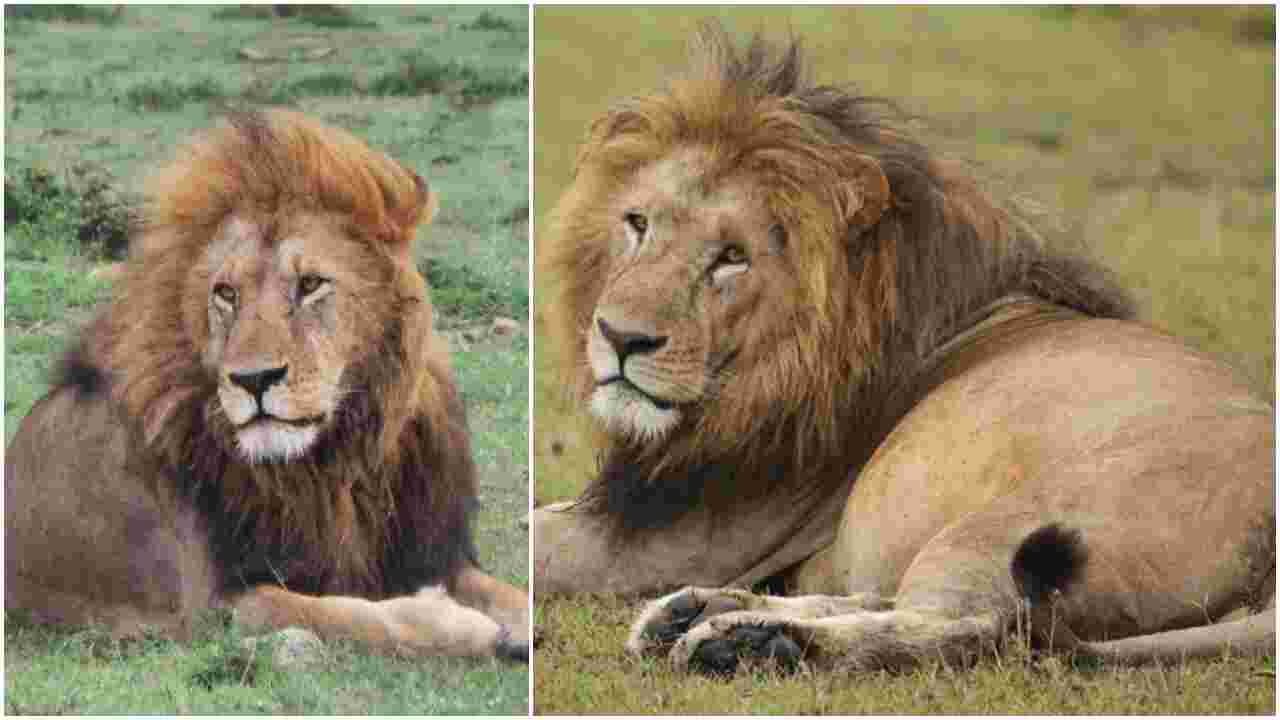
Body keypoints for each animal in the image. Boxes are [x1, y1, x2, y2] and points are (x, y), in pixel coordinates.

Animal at [6, 110, 528, 662]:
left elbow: (508, 592)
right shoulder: (211, 607)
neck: (336, 465)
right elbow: (345, 615)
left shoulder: (423, 552)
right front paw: (461, 624)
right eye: (226, 293)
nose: (253, 379)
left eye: (310, 284)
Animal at [531, 26, 1274, 674]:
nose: (619, 337)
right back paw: (697, 616)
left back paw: (752, 643)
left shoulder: (668, 541)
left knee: (971, 625)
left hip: (1011, 523)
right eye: (637, 223)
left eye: (732, 257)